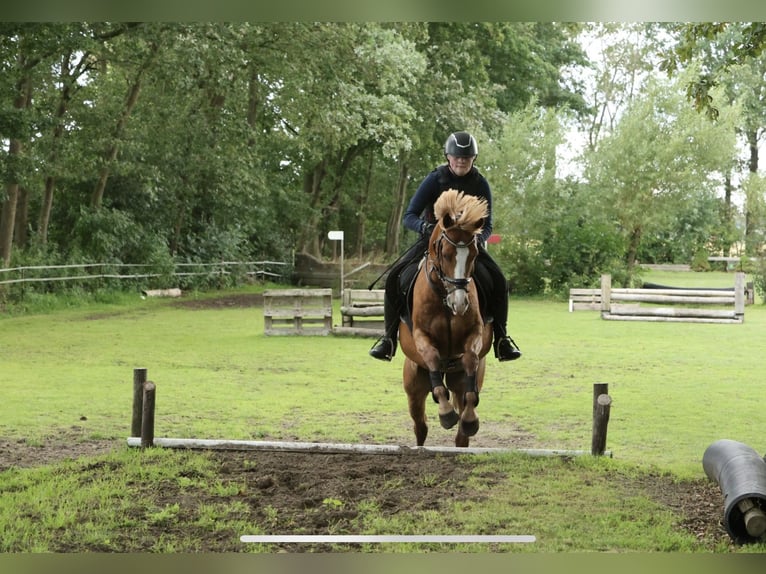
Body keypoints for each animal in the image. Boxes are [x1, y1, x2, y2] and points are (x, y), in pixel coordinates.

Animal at [400, 190, 496, 450]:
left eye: (474, 255)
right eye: (445, 254)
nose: (460, 303)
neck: (444, 297)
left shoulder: (475, 334)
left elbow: (471, 357)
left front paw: (470, 419)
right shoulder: (420, 336)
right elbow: (432, 356)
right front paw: (445, 412)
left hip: (460, 380)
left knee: (462, 433)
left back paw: (466, 420)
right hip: (414, 385)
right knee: (420, 425)